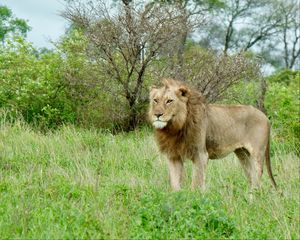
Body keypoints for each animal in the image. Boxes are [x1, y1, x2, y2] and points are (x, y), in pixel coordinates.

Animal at [149, 79, 278, 191]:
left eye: (169, 101)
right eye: (155, 100)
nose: (157, 114)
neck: (175, 127)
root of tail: (264, 116)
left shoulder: (200, 154)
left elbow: (196, 182)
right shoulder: (173, 156)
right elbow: (175, 184)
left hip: (257, 153)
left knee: (258, 177)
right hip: (242, 153)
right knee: (252, 177)